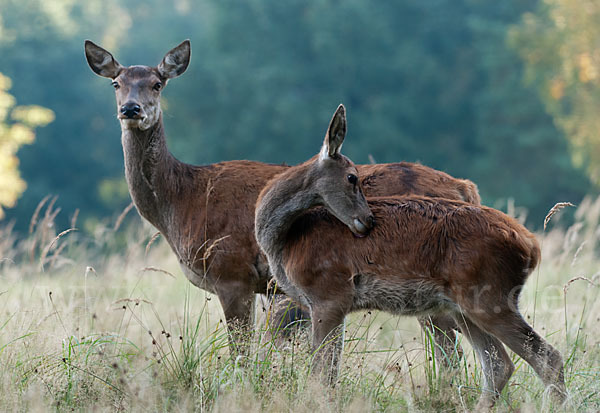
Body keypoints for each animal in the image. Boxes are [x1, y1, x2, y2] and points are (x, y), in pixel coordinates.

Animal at [84, 39, 478, 360]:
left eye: (157, 83)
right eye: (116, 83)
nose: (131, 109)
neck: (183, 202)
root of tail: (465, 187)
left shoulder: (232, 272)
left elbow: (241, 353)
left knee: (452, 351)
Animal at [255, 104, 564, 408]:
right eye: (352, 177)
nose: (368, 220)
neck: (287, 241)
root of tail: (531, 246)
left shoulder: (328, 295)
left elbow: (322, 370)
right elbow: (326, 368)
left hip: (489, 295)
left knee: (546, 357)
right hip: (463, 305)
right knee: (498, 363)